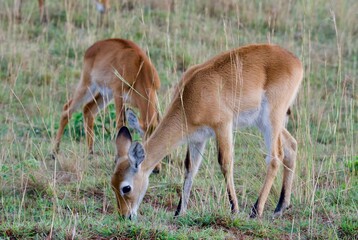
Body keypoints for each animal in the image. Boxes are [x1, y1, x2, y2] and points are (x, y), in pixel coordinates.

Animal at [53, 38, 162, 171]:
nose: (156, 169)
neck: (139, 70)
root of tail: (93, 47)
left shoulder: (154, 97)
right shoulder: (118, 95)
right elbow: (121, 124)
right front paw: (117, 160)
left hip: (104, 95)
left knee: (88, 109)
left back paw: (90, 153)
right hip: (88, 86)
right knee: (67, 109)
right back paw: (54, 152)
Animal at [111, 43, 302, 219]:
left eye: (126, 187)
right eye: (112, 184)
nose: (125, 215)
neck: (191, 96)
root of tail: (295, 60)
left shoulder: (222, 126)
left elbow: (225, 163)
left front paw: (234, 209)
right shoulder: (197, 138)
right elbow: (190, 168)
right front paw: (179, 212)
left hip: (271, 119)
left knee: (275, 157)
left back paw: (256, 211)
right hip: (265, 122)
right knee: (291, 146)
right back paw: (280, 207)